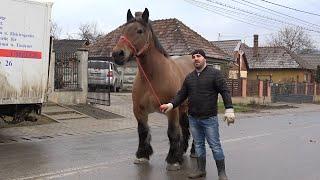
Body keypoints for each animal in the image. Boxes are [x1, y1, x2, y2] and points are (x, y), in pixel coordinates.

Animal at [114, 7, 195, 170]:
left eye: (139, 31)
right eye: (124, 30)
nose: (117, 54)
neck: (152, 77)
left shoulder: (171, 110)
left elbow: (172, 132)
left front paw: (173, 160)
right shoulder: (139, 111)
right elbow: (143, 131)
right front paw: (142, 155)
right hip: (183, 108)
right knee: (185, 128)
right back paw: (182, 151)